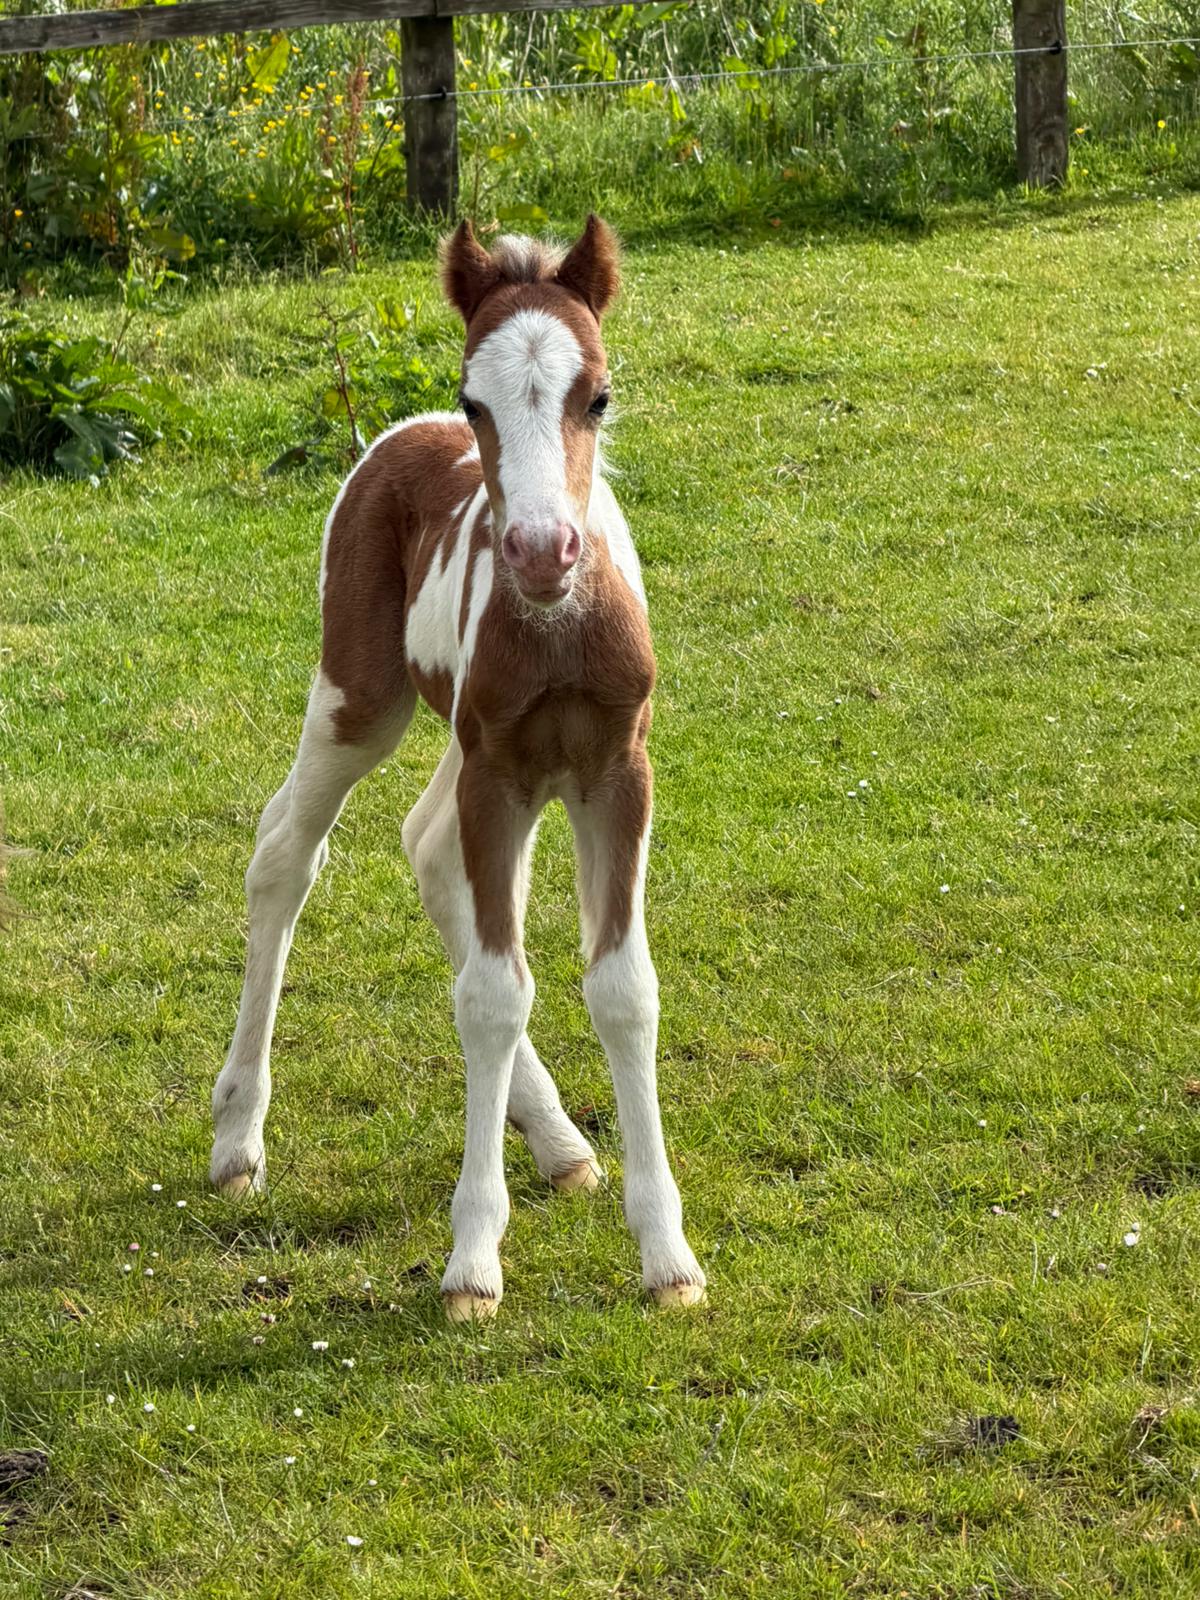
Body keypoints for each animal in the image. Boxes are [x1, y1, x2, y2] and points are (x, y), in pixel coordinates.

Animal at [209, 215, 706, 1321]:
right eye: (480, 400)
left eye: (597, 395)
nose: (540, 549)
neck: (560, 631)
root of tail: (402, 431)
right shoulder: (496, 773)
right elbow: (490, 994)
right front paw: (474, 1262)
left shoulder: (614, 770)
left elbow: (621, 987)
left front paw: (668, 1257)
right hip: (362, 701)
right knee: (284, 853)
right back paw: (236, 1135)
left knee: (428, 848)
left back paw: (559, 1142)